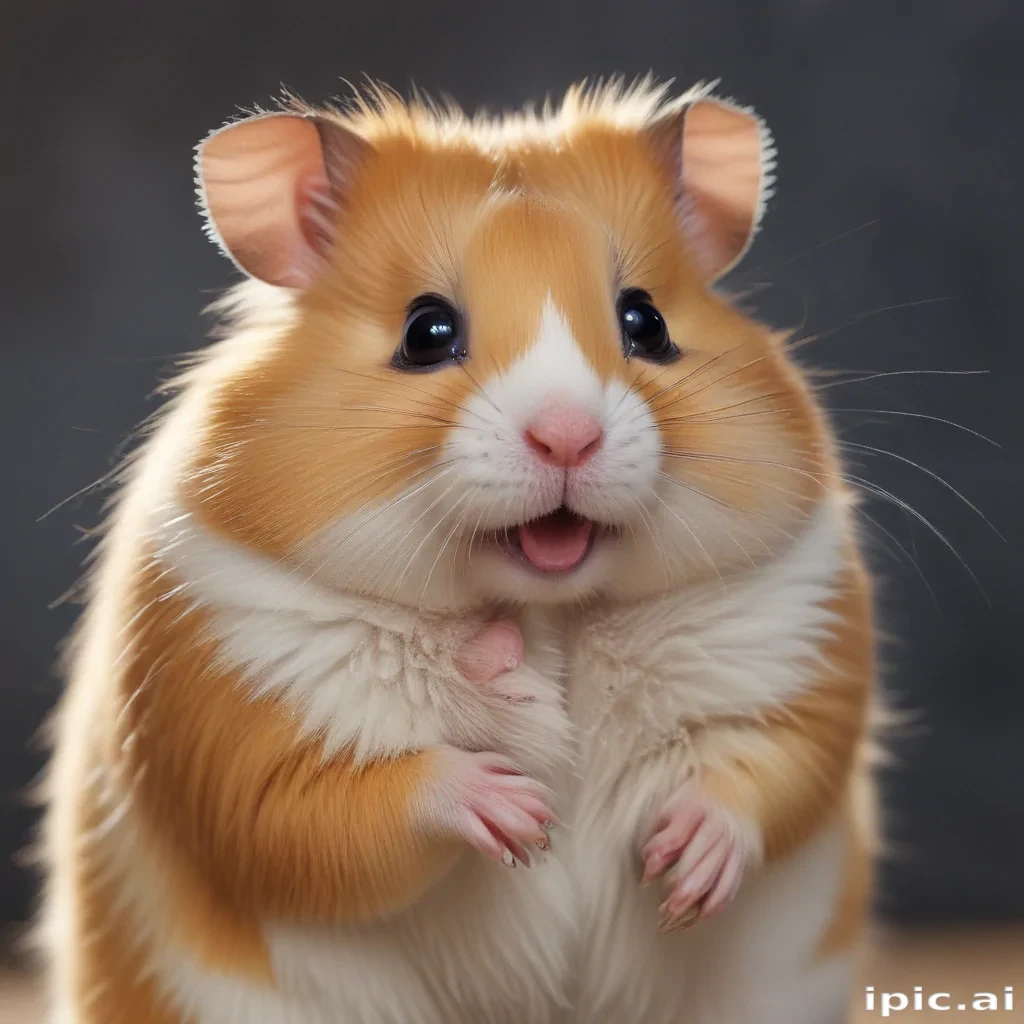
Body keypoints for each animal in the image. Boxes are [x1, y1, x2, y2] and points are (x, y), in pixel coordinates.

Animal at [41, 77, 875, 1024]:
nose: (567, 436)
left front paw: (680, 863)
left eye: (647, 321)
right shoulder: (229, 727)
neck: (550, 612)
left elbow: (765, 768)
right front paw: (523, 806)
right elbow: (334, 810)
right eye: (427, 333)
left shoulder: (805, 657)